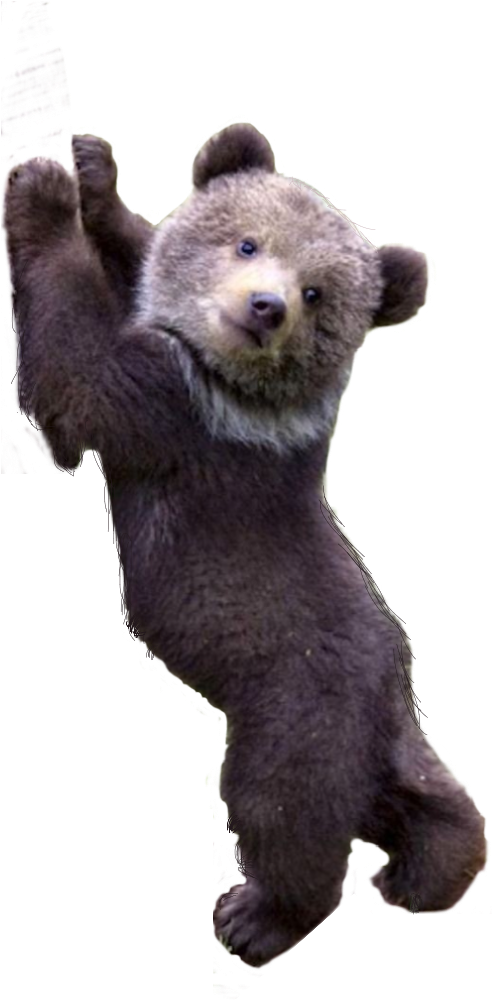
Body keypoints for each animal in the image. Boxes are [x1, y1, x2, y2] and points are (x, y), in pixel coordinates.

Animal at [3, 120, 489, 968]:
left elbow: (80, 361)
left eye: (319, 291)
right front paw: (95, 173)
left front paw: (44, 194)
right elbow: (136, 260)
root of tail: (395, 695)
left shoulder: (180, 415)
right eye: (247, 241)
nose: (265, 307)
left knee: (281, 814)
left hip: (294, 712)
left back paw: (257, 920)